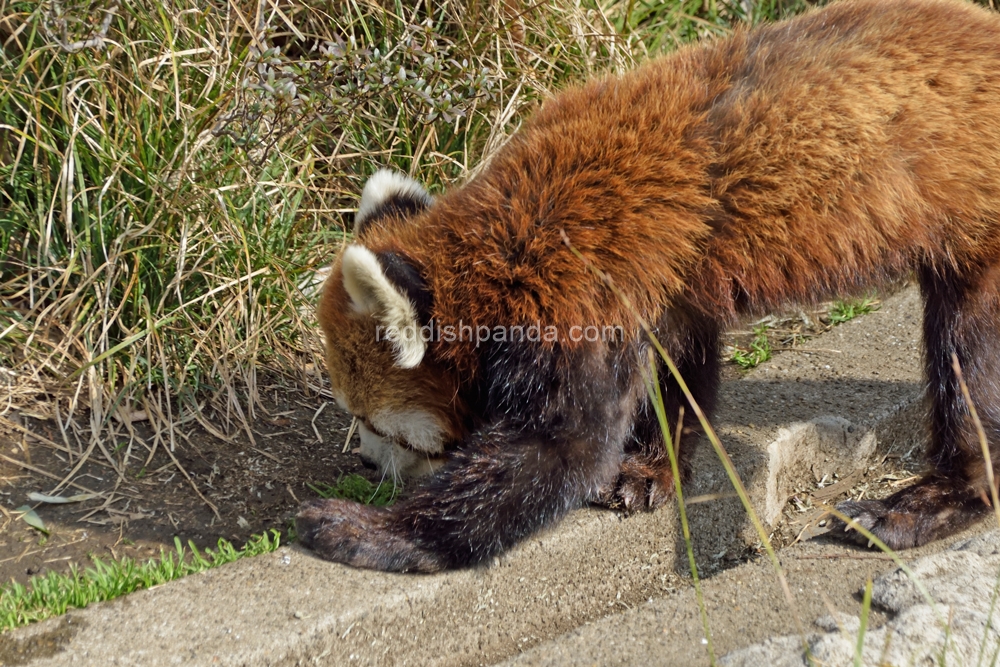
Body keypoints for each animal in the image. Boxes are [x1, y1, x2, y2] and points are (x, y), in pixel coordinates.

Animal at [296, 0, 1000, 576]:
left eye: (371, 423)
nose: (366, 464)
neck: (500, 242)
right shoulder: (663, 283)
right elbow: (675, 373)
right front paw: (650, 469)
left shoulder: (573, 290)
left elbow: (564, 448)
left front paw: (367, 531)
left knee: (967, 363)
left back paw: (927, 503)